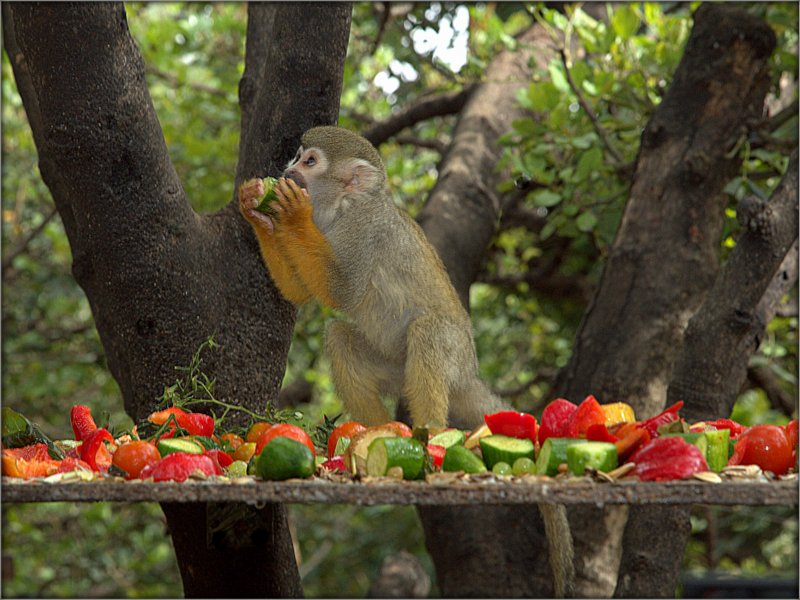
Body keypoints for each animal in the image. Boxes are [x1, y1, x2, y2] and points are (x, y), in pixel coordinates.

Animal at [238, 125, 504, 432]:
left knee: (428, 331)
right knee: (340, 337)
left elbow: (342, 291)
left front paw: (293, 214)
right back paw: (376, 428)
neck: (343, 207)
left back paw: (430, 432)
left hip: (456, 357)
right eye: (297, 156)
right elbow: (300, 292)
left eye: (310, 162)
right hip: (397, 371)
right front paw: (256, 210)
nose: (289, 170)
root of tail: (470, 375)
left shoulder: (365, 227)